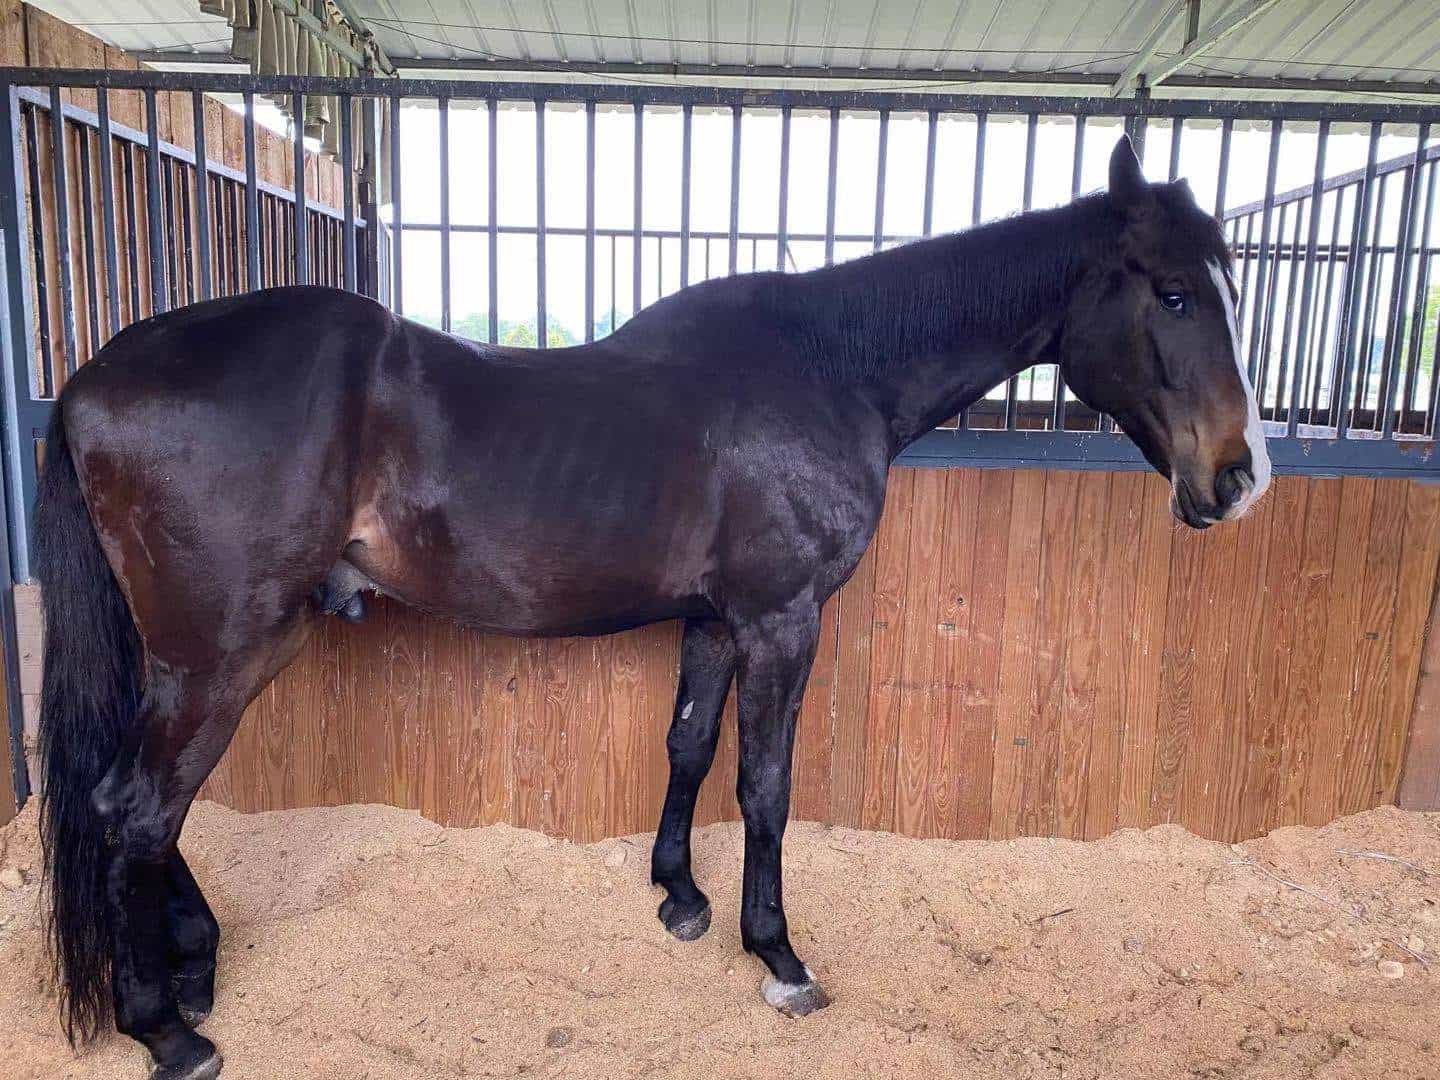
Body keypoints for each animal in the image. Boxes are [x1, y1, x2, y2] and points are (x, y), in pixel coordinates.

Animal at [33, 135, 1269, 1080]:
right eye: (1170, 292)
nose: (1238, 479)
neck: (829, 370)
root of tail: (95, 377)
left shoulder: (716, 619)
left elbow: (687, 745)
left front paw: (679, 898)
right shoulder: (783, 619)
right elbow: (764, 787)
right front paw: (778, 957)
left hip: (194, 656)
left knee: (140, 807)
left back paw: (196, 967)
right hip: (223, 652)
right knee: (137, 809)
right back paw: (167, 1030)